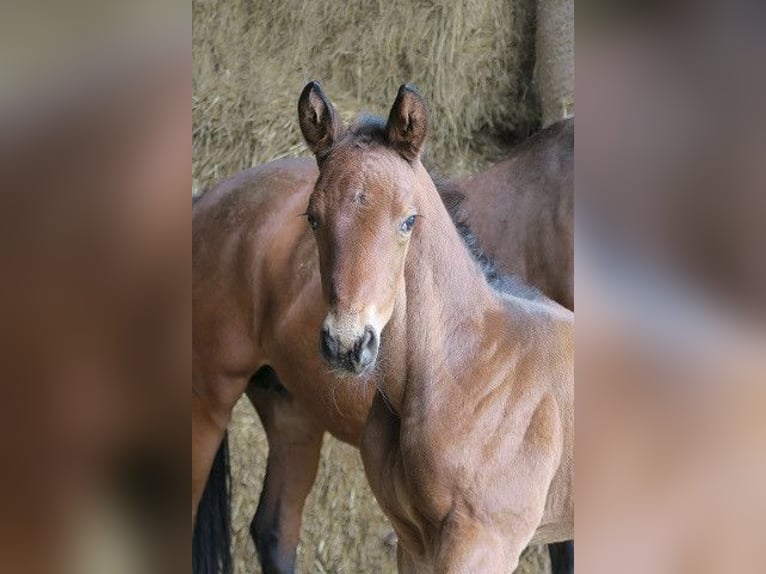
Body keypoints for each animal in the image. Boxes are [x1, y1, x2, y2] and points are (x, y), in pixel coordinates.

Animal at [194, 85, 576, 574]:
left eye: (408, 220)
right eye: (312, 218)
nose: (347, 344)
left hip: (289, 407)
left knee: (275, 528)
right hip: (208, 396)